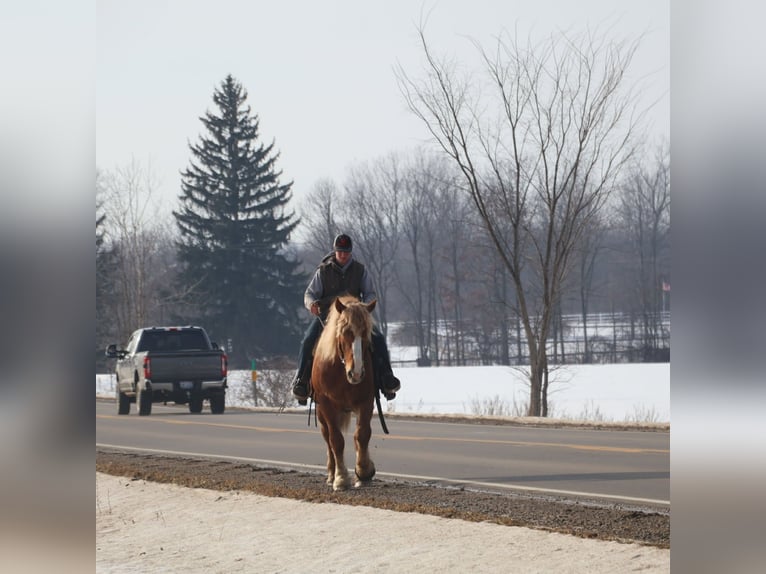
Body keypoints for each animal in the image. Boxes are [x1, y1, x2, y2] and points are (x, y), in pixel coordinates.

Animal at [311, 294, 378, 491]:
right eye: (345, 331)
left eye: (366, 332)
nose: (356, 373)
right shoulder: (327, 405)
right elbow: (336, 440)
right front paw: (341, 478)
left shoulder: (366, 402)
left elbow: (362, 435)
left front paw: (364, 471)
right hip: (321, 414)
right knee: (327, 438)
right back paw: (331, 474)